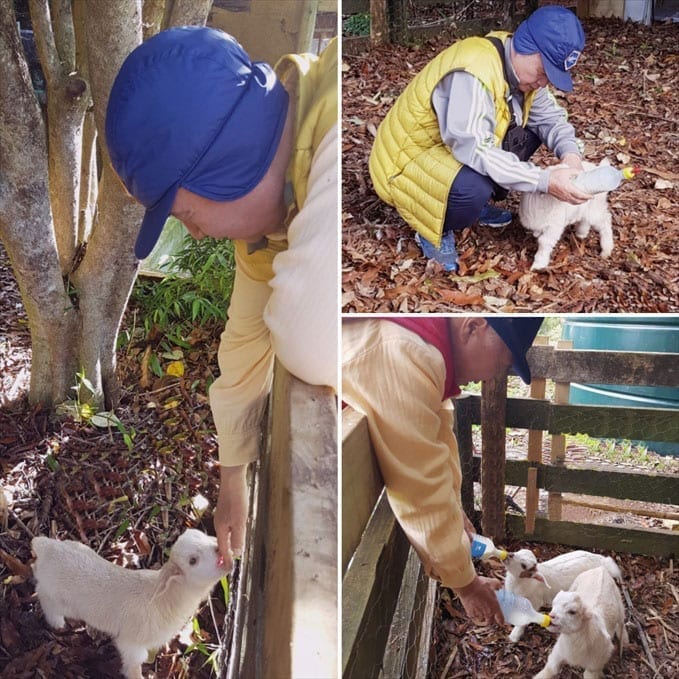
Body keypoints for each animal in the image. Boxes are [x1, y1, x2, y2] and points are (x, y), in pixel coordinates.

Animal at [32, 532, 228, 679]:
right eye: (193, 560)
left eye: (208, 536)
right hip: (56, 596)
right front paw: (138, 676)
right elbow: (134, 664)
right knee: (43, 596)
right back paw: (57, 623)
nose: (220, 550)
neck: (165, 599)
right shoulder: (131, 643)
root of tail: (47, 547)